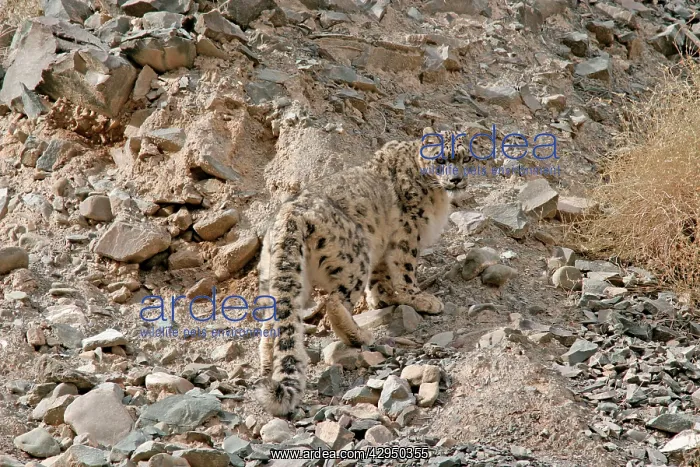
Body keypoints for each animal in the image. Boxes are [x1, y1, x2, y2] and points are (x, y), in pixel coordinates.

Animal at [254, 127, 473, 417]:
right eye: (440, 160)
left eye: (466, 158)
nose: (457, 180)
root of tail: (289, 215)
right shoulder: (407, 233)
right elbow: (404, 269)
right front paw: (421, 299)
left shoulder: (383, 245)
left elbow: (380, 277)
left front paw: (383, 298)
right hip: (355, 257)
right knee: (334, 302)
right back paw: (359, 336)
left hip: (278, 278)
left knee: (272, 324)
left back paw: (268, 367)